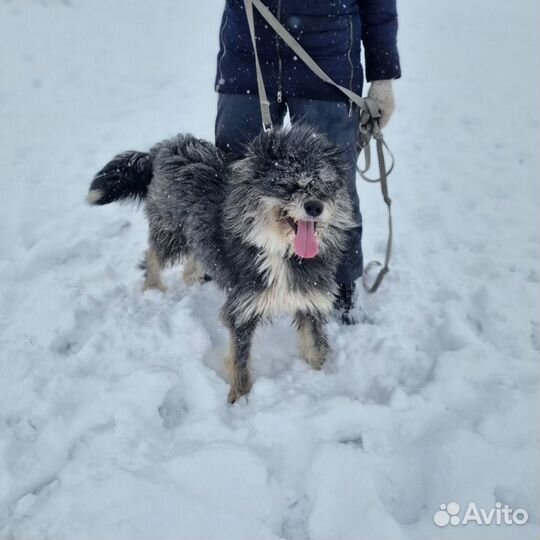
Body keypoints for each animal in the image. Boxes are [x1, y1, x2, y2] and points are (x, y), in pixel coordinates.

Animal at [87, 124, 356, 402]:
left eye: (326, 184)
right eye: (287, 184)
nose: (315, 206)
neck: (281, 251)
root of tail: (166, 146)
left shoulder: (310, 302)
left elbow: (315, 349)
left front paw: (320, 380)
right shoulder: (242, 309)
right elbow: (240, 364)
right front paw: (239, 401)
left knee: (194, 256)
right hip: (171, 231)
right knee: (153, 255)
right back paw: (153, 289)